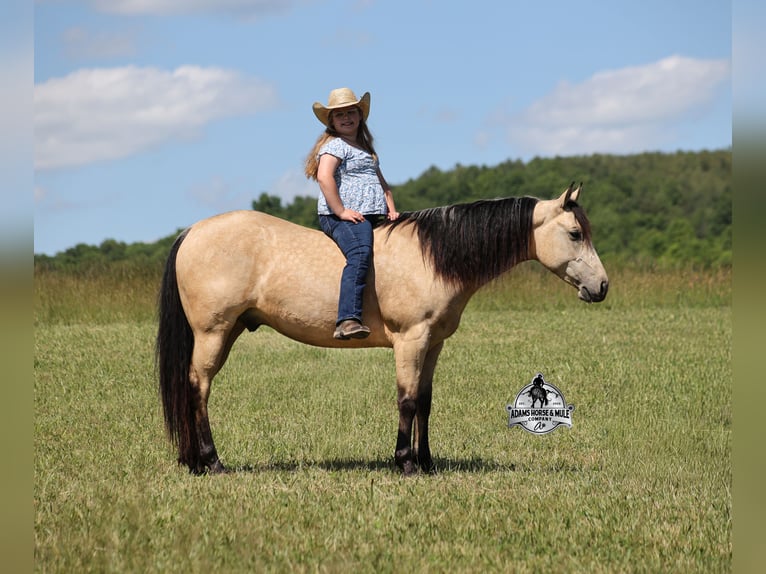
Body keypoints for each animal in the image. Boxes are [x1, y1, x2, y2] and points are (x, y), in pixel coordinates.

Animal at [156, 182, 608, 475]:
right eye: (575, 233)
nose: (602, 286)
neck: (432, 257)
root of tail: (193, 231)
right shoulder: (411, 340)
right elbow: (406, 401)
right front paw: (405, 463)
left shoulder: (433, 344)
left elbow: (425, 402)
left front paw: (426, 462)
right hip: (213, 333)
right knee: (198, 388)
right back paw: (211, 462)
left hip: (228, 330)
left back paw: (195, 461)